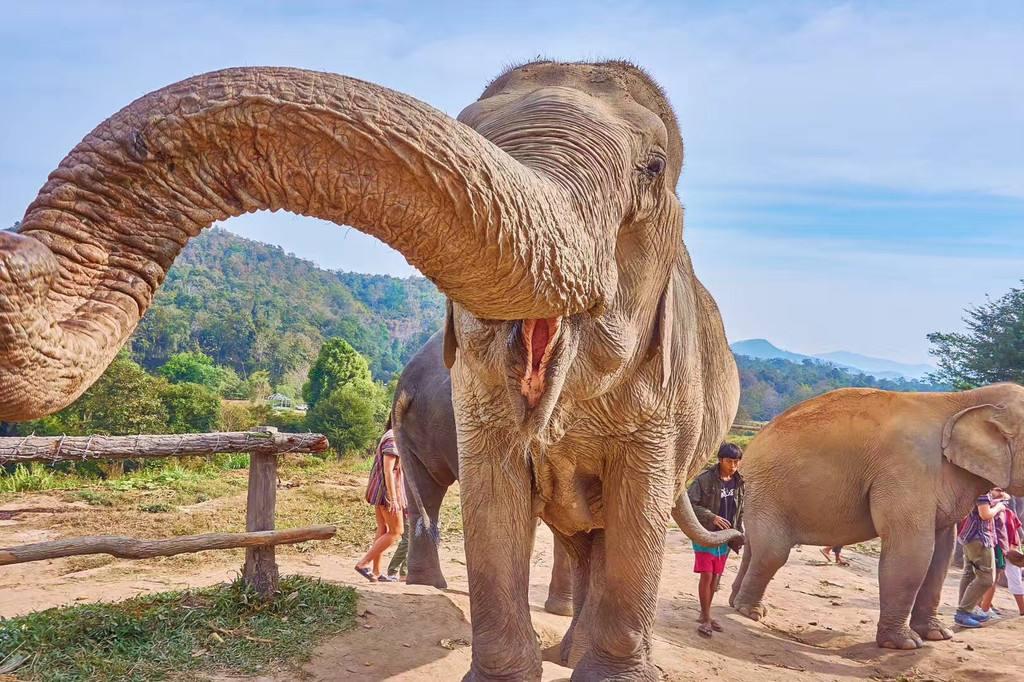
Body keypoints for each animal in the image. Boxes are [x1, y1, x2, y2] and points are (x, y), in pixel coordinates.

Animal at [729, 382, 1024, 647]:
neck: (966, 400)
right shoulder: (907, 470)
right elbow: (912, 550)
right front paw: (904, 644)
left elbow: (941, 553)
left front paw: (938, 635)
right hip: (766, 489)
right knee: (773, 551)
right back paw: (750, 612)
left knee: (754, 547)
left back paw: (736, 604)